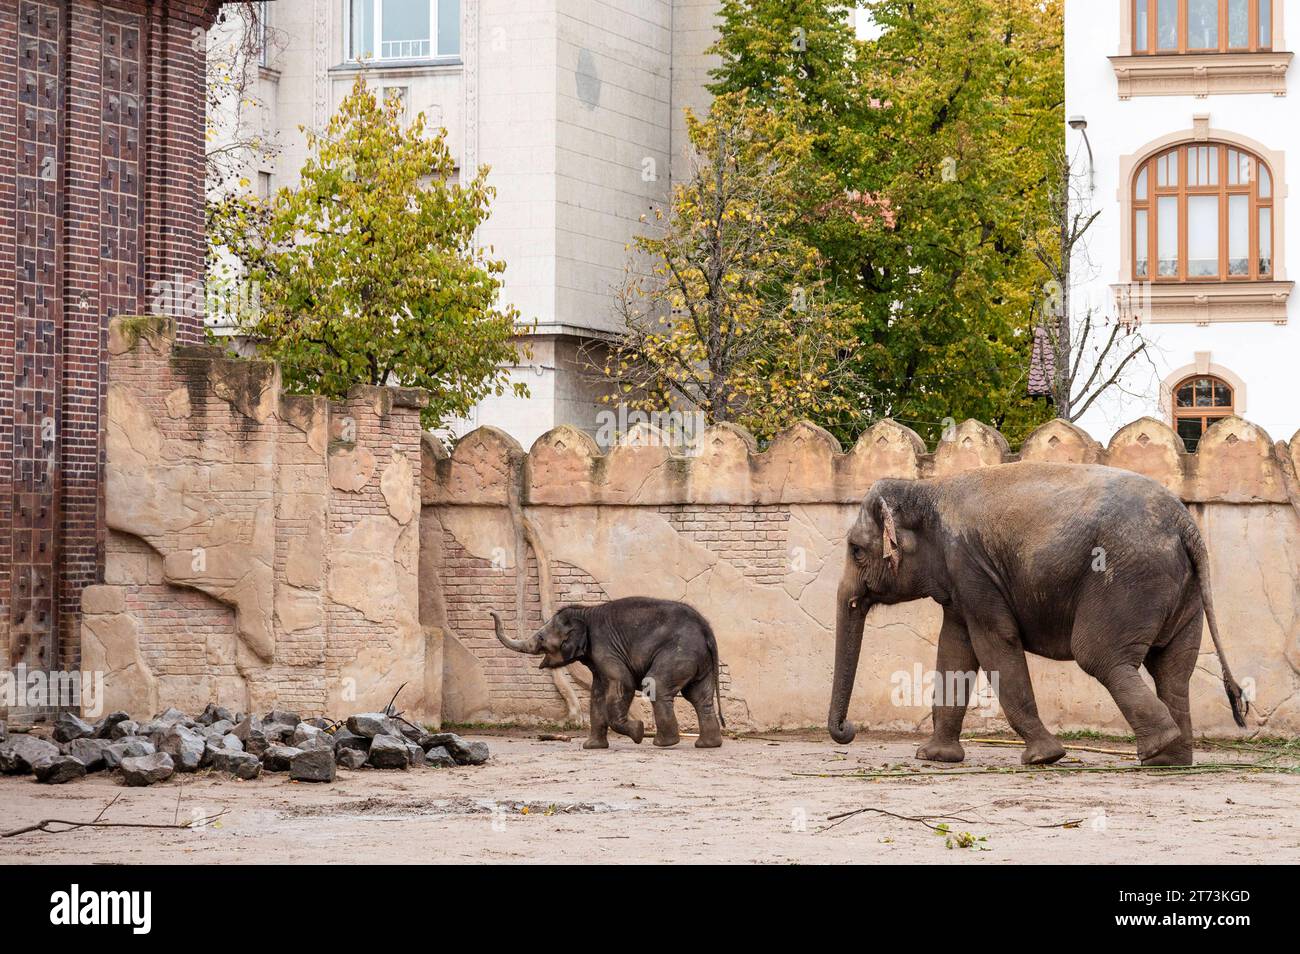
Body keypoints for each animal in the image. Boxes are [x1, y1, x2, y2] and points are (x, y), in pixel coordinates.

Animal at [491, 600, 728, 748]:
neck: (585, 611)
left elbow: (623, 683)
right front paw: (592, 747)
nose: (491, 612)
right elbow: (597, 693)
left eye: (541, 638)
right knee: (699, 697)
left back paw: (663, 743)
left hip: (680, 652)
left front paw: (638, 732)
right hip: (699, 660)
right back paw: (707, 745)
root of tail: (707, 629)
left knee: (657, 685)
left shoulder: (605, 647)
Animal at [826, 462, 1242, 769]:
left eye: (856, 550)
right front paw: (935, 757)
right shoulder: (960, 581)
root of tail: (1185, 524)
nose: (848, 729)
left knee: (1101, 656)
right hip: (1184, 593)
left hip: (1128, 579)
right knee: (1173, 669)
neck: (926, 488)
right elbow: (955, 648)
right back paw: (1171, 760)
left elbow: (994, 643)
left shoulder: (971, 568)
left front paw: (1044, 757)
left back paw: (1157, 749)